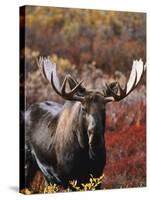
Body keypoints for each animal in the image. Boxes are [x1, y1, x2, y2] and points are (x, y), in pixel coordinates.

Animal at [24, 57, 145, 189]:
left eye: (104, 108)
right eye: (83, 108)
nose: (95, 135)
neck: (86, 154)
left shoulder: (97, 176)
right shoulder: (68, 179)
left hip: (48, 177)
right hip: (28, 165)